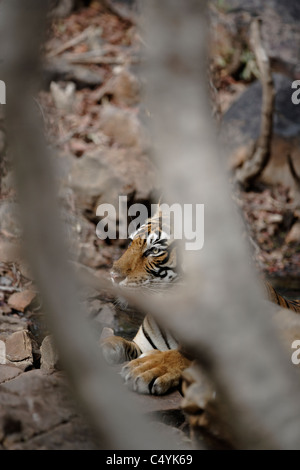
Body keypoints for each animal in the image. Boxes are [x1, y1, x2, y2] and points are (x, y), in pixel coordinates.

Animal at [101, 207, 300, 394]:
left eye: (155, 250)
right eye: (130, 242)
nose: (113, 275)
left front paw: (151, 367)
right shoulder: (141, 345)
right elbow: (118, 341)